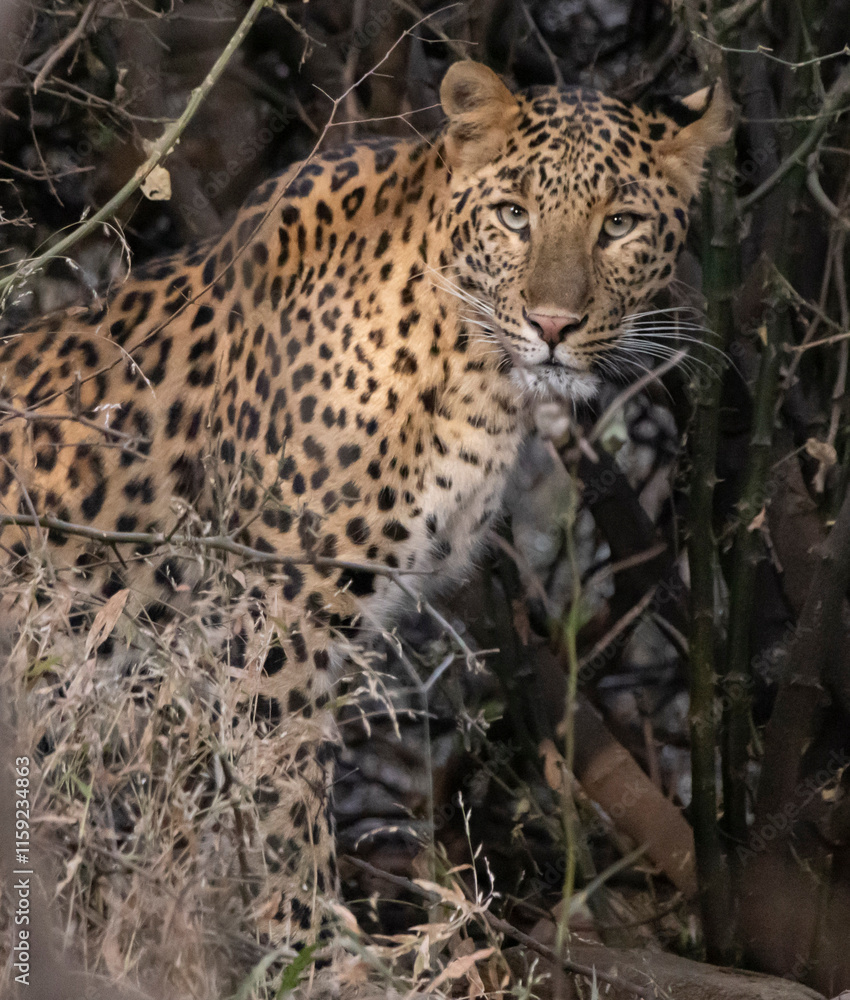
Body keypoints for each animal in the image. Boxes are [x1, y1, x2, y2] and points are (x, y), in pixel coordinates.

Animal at [0, 60, 729, 985]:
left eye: (621, 225)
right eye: (515, 214)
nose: (553, 326)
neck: (473, 379)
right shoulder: (274, 609)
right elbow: (281, 803)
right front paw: (312, 952)